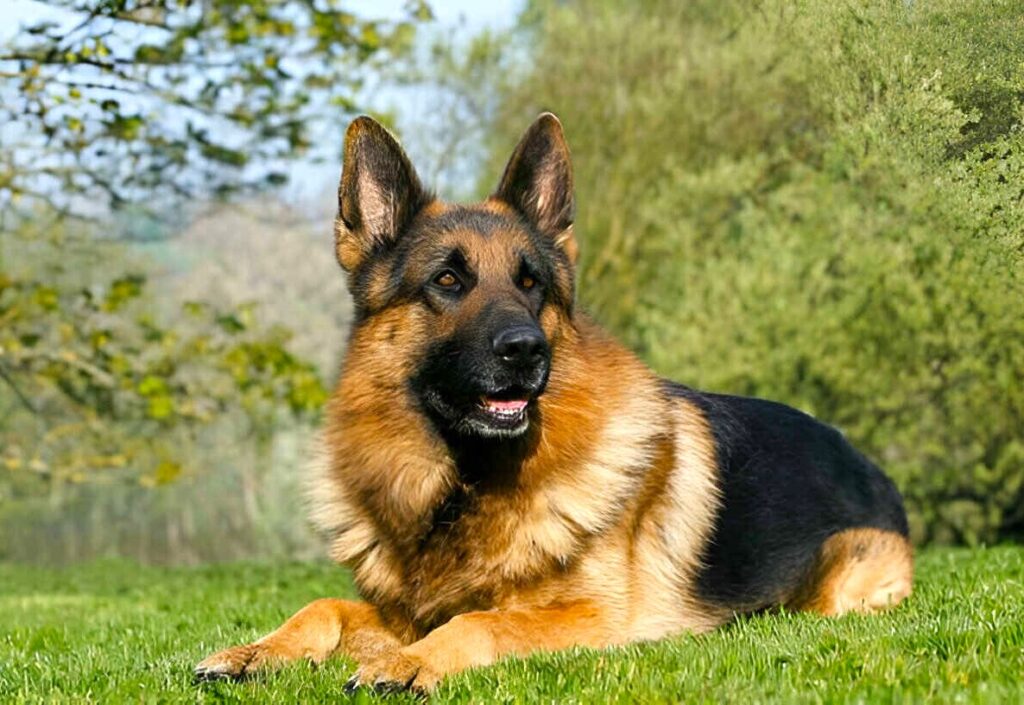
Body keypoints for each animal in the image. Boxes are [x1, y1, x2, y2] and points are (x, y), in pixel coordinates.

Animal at [197, 112, 913, 692]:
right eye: (447, 280)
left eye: (530, 283)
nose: (526, 350)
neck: (465, 486)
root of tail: (865, 460)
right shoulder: (405, 612)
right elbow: (323, 607)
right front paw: (254, 652)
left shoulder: (596, 618)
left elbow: (477, 622)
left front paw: (413, 664)